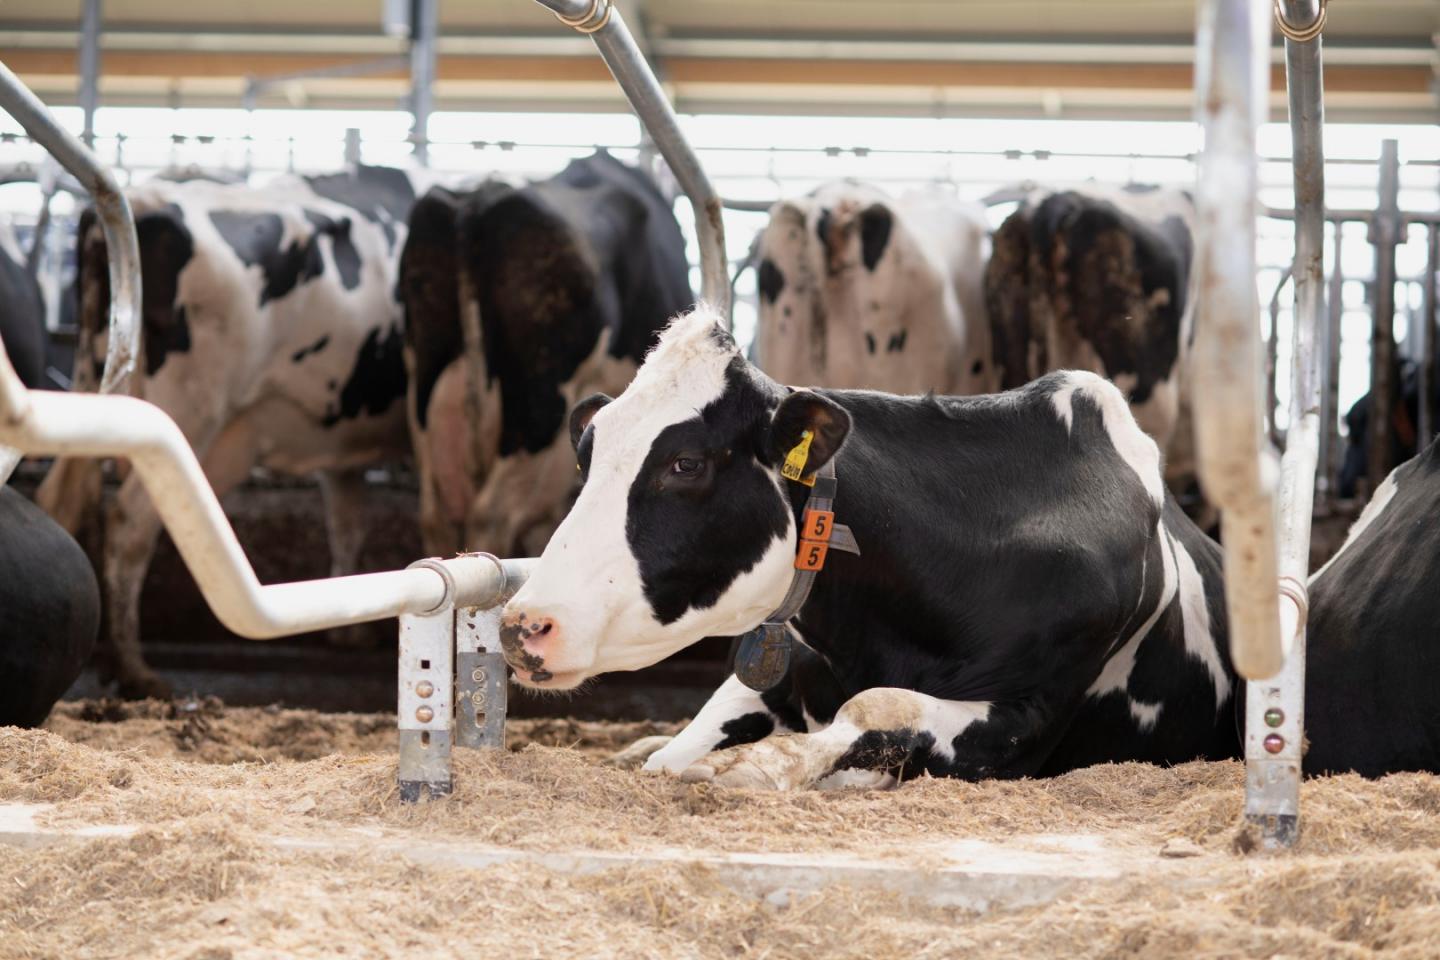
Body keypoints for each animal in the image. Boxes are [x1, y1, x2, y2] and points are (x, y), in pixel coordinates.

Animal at [36, 166, 417, 699]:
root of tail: (146, 198)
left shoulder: (339, 438)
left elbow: (347, 521)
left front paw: (350, 630)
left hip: (97, 385)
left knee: (61, 499)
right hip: (190, 413)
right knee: (131, 521)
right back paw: (134, 668)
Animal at [501, 308, 1232, 788]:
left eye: (686, 464)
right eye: (586, 455)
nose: (524, 624)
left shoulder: (1024, 721)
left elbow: (876, 705)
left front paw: (752, 767)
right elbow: (688, 739)